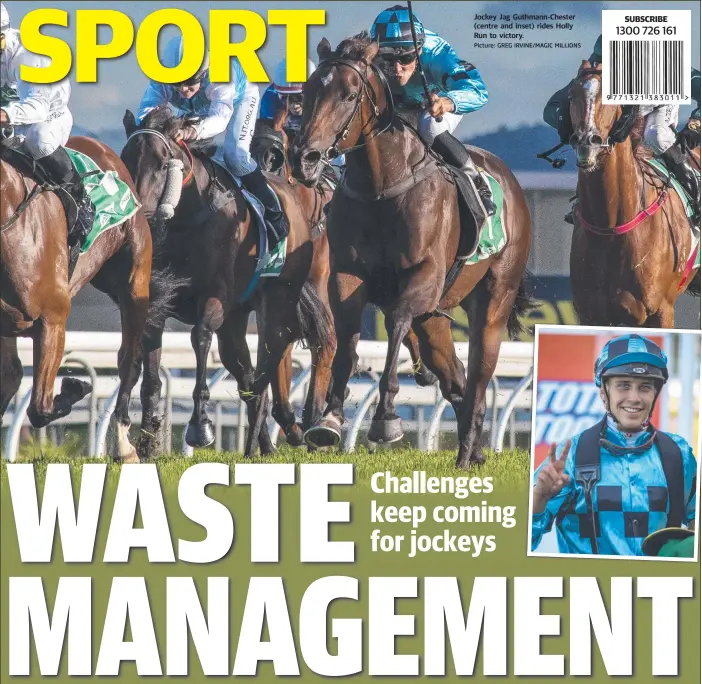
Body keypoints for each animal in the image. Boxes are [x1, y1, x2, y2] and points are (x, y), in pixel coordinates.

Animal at [0, 136, 153, 462]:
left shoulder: (53, 319)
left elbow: (40, 408)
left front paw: (75, 387)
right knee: (12, 374)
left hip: (134, 284)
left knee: (129, 359)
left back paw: (124, 447)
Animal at [122, 107, 334, 456]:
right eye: (126, 159)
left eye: (163, 162)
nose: (142, 214)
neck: (188, 217)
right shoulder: (157, 300)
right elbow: (150, 368)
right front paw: (146, 442)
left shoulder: (214, 297)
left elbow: (200, 337)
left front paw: (200, 426)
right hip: (235, 321)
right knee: (247, 378)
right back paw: (263, 446)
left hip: (277, 303)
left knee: (266, 369)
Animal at [292, 34, 532, 468]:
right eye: (307, 90)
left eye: (349, 94)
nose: (305, 158)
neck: (382, 186)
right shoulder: (346, 275)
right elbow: (347, 343)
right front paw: (330, 418)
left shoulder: (423, 277)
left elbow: (395, 326)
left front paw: (386, 419)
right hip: (436, 317)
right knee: (456, 378)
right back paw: (472, 452)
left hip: (493, 300)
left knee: (478, 377)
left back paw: (467, 454)